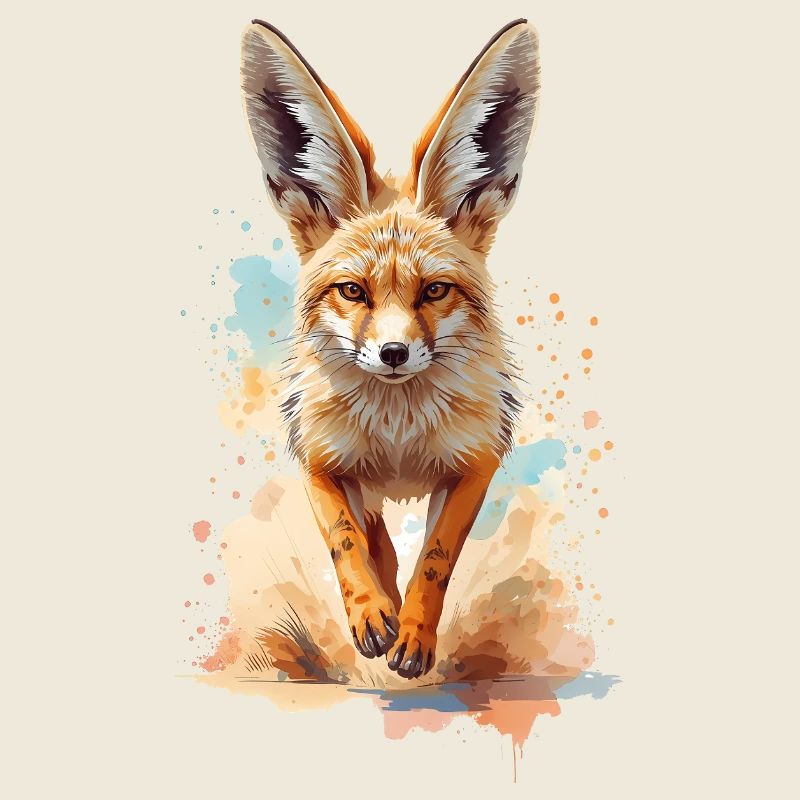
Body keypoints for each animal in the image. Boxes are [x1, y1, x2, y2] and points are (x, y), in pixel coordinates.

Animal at [240, 18, 540, 679]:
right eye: (353, 291)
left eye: (434, 290)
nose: (395, 354)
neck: (398, 435)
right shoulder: (318, 456)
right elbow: (348, 541)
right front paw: (373, 615)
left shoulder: (476, 459)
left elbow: (435, 557)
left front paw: (414, 635)